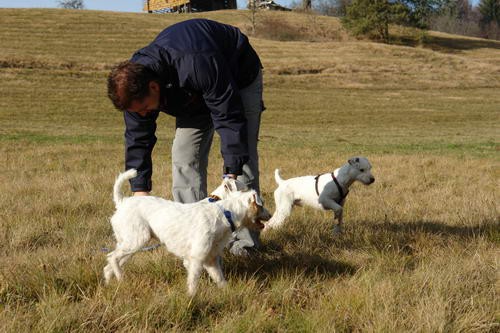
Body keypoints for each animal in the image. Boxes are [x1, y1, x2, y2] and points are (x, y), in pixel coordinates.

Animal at [103, 170, 272, 294]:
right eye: (261, 204)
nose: (270, 215)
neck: (225, 212)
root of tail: (122, 202)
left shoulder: (210, 259)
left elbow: (220, 279)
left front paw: (227, 292)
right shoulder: (196, 258)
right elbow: (193, 281)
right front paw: (191, 297)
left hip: (129, 245)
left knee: (109, 265)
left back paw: (111, 283)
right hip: (136, 240)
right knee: (112, 258)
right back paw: (121, 278)